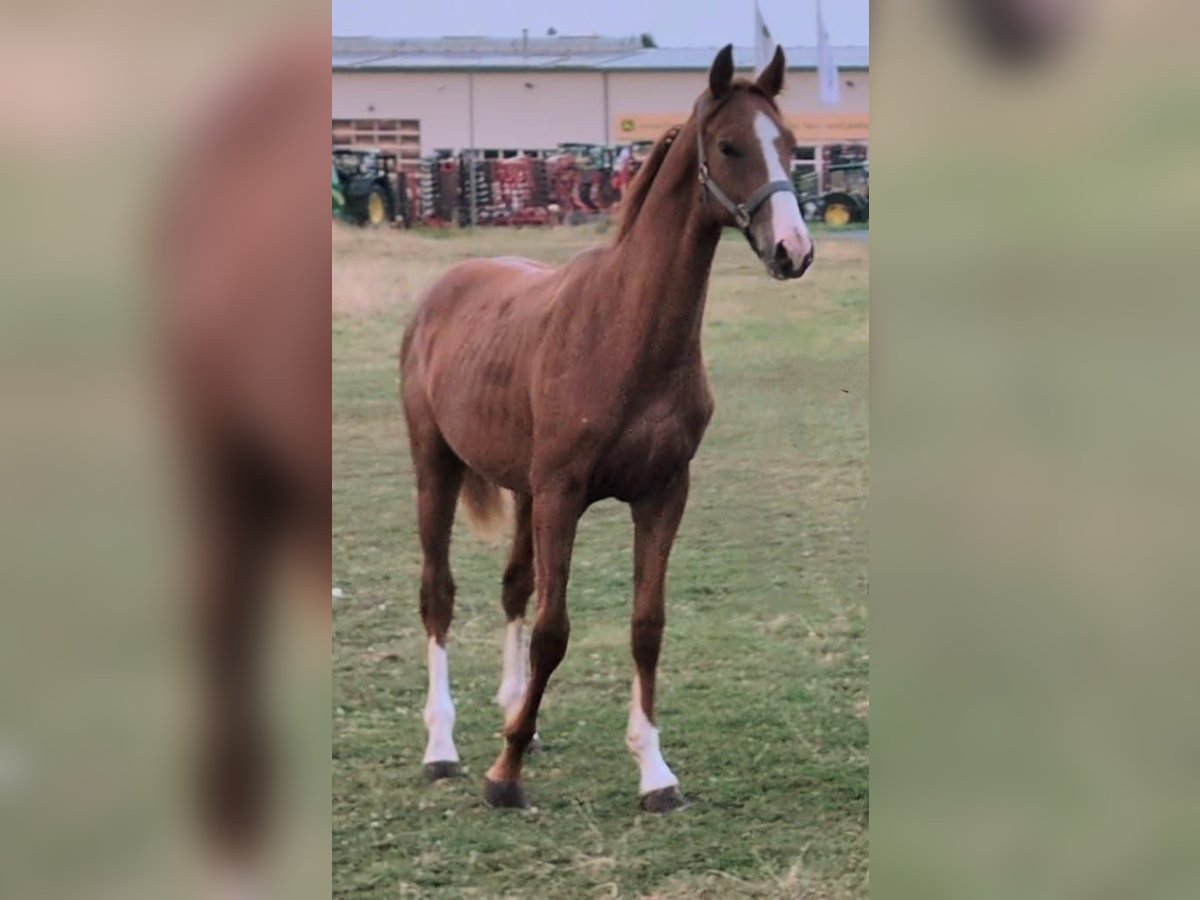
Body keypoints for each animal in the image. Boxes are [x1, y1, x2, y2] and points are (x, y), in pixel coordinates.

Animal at [403, 45, 816, 816]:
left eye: (793, 145)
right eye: (729, 145)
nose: (793, 250)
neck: (625, 330)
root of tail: (442, 291)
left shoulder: (661, 495)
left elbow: (645, 627)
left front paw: (653, 771)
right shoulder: (564, 495)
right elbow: (554, 631)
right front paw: (504, 775)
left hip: (522, 489)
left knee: (513, 586)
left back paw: (518, 717)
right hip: (435, 467)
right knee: (438, 591)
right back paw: (442, 745)